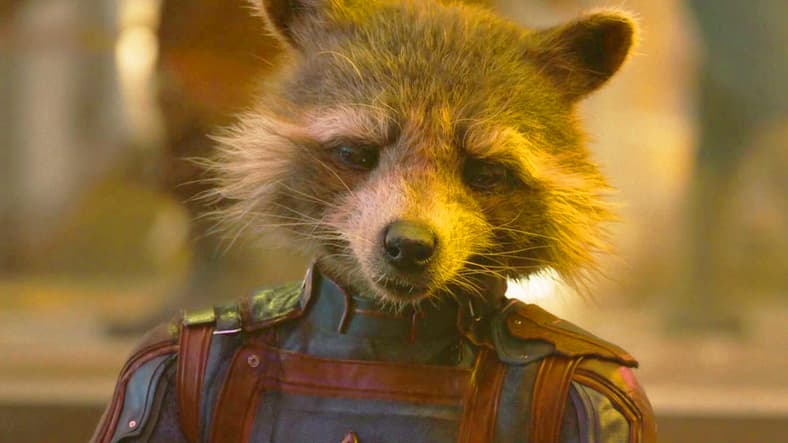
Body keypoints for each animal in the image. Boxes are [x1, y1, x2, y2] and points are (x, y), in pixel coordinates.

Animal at [93, 2, 655, 442]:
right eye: (355, 153)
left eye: (484, 172)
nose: (408, 245)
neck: (386, 329)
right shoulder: (154, 371)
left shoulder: (601, 392)